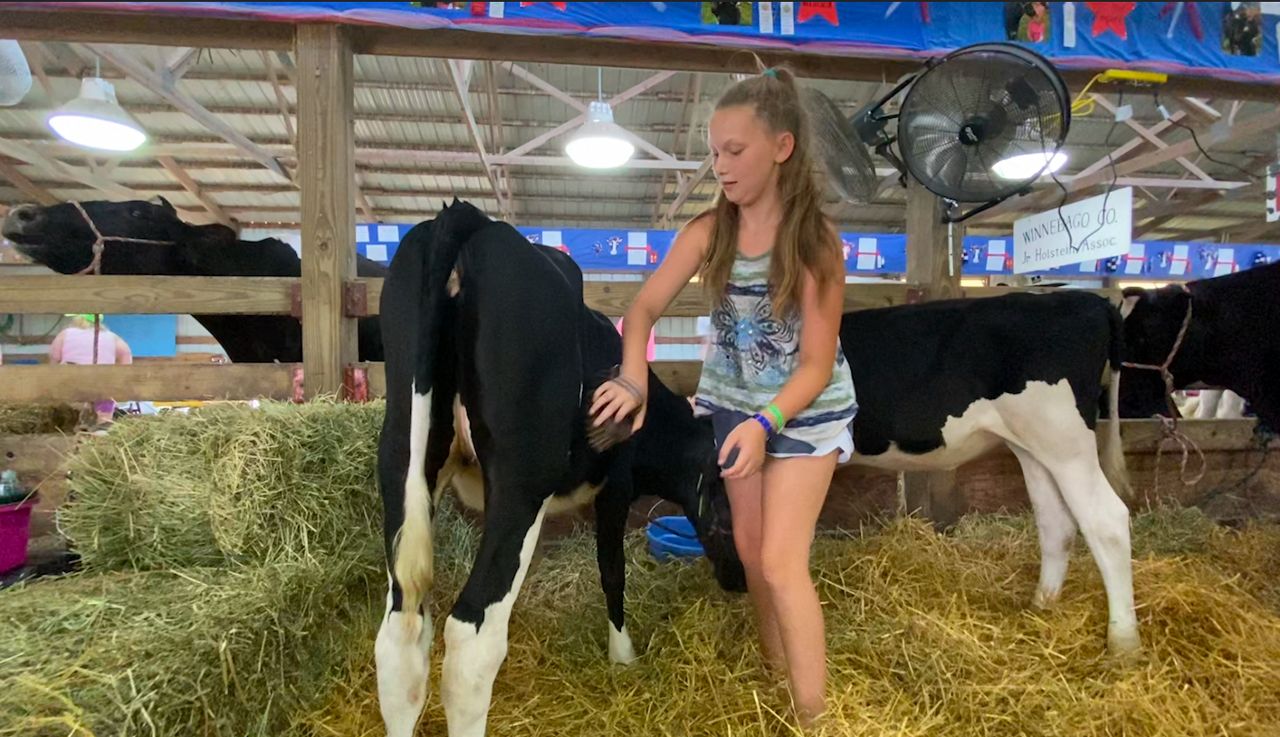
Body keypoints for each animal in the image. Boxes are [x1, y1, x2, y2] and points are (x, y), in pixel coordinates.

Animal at [373, 202, 737, 737]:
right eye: (731, 504)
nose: (740, 581)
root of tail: (466, 217)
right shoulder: (616, 486)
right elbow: (612, 569)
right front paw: (623, 655)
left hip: (403, 456)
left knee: (400, 633)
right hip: (522, 481)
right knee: (471, 637)